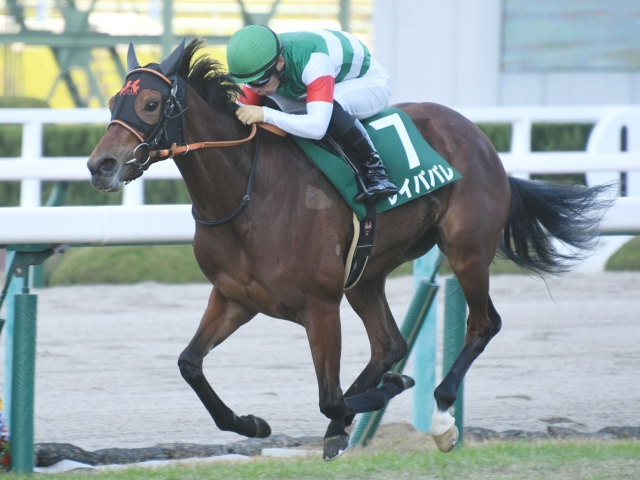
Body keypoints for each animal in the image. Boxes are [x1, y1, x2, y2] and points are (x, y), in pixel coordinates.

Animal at [87, 39, 608, 460]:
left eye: (151, 103)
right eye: (113, 101)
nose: (100, 165)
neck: (248, 196)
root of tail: (478, 136)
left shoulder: (320, 305)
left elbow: (329, 397)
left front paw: (385, 394)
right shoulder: (235, 297)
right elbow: (190, 364)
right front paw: (251, 423)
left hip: (466, 250)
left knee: (481, 324)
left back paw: (441, 418)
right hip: (366, 272)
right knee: (390, 343)